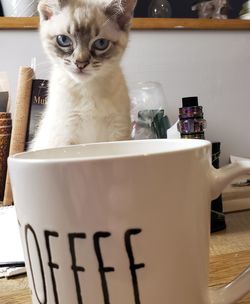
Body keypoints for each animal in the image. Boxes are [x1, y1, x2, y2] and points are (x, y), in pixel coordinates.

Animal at [31, 0, 138, 150]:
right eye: (63, 40)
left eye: (101, 43)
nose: (80, 63)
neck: (87, 87)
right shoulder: (65, 136)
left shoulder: (118, 132)